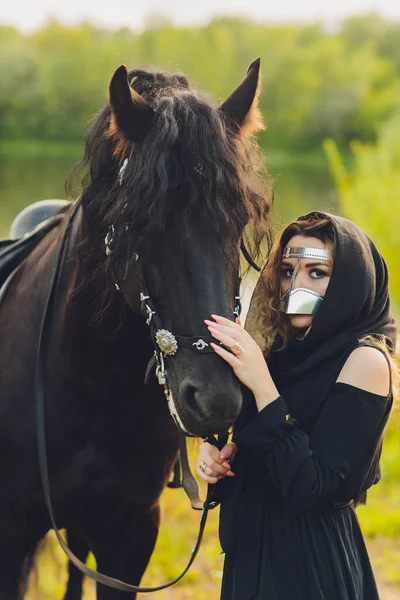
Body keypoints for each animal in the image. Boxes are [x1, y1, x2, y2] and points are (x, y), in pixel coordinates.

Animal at [0, 58, 272, 596]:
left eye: (237, 222)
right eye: (142, 224)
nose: (216, 401)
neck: (88, 387)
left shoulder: (129, 535)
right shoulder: (10, 534)